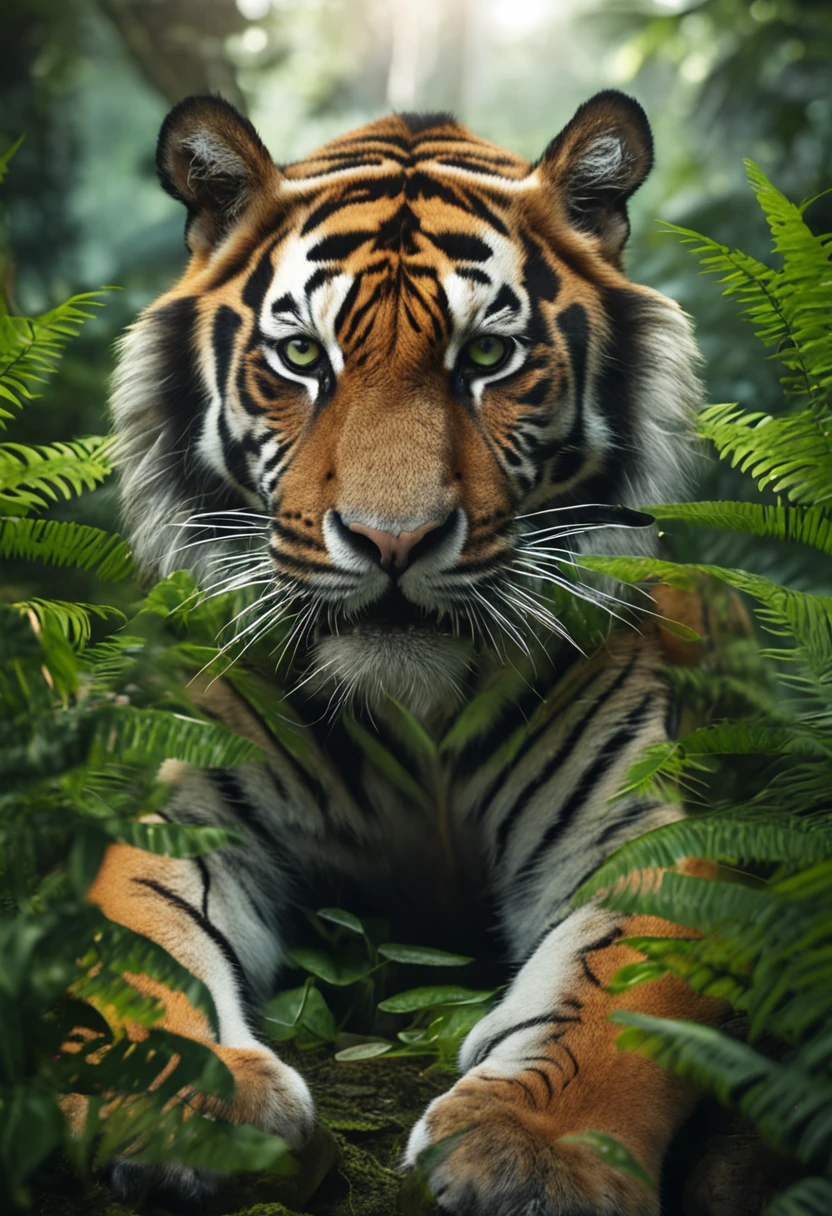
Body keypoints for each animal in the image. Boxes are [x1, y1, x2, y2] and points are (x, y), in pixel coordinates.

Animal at [82, 89, 722, 1214]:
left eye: (486, 360)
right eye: (302, 359)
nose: (392, 541)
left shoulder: (635, 840)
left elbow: (619, 1003)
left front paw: (532, 1155)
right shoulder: (185, 811)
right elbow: (139, 947)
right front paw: (181, 1110)